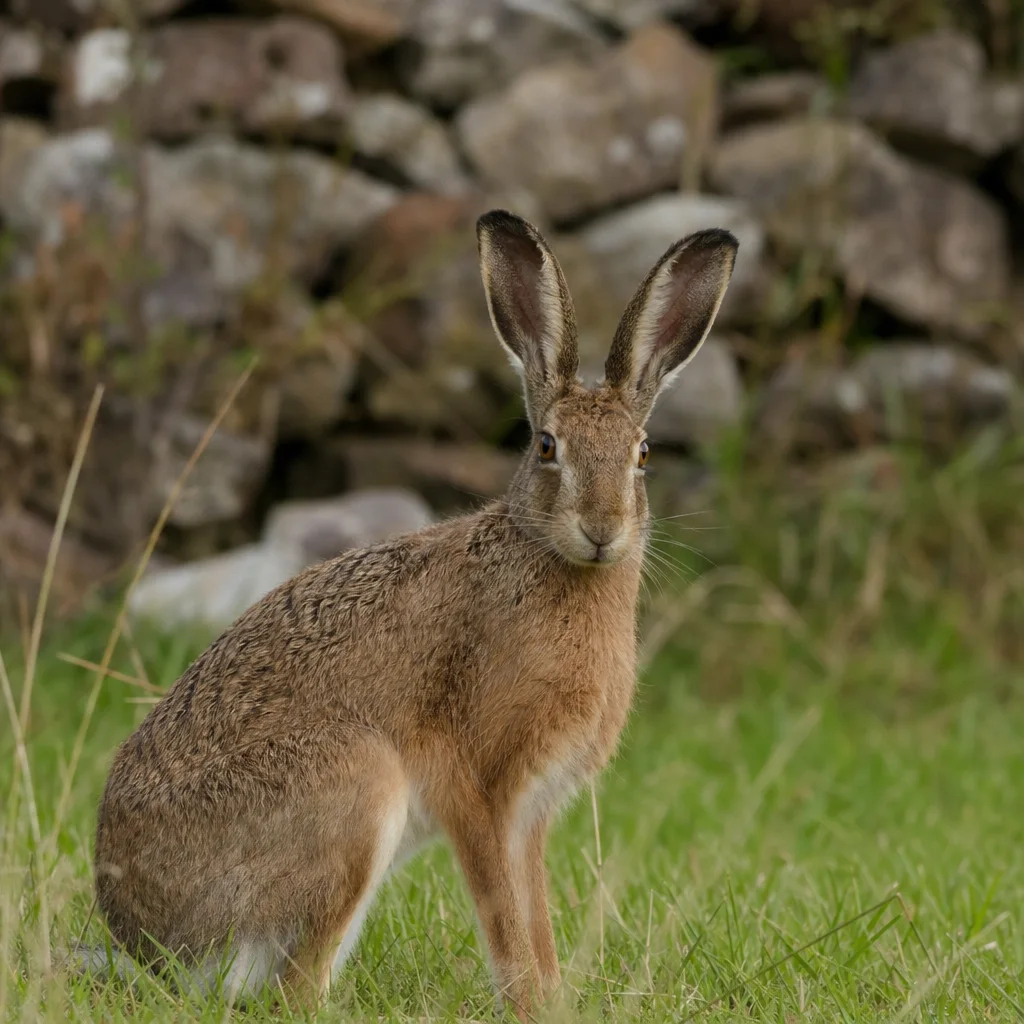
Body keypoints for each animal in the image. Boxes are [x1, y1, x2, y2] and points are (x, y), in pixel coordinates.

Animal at [92, 210, 738, 1018]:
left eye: (643, 454)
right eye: (546, 446)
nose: (602, 530)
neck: (545, 558)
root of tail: (147, 944)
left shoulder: (532, 814)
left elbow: (537, 920)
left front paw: (556, 999)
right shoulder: (478, 788)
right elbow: (504, 921)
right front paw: (530, 1007)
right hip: (352, 786)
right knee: (297, 991)